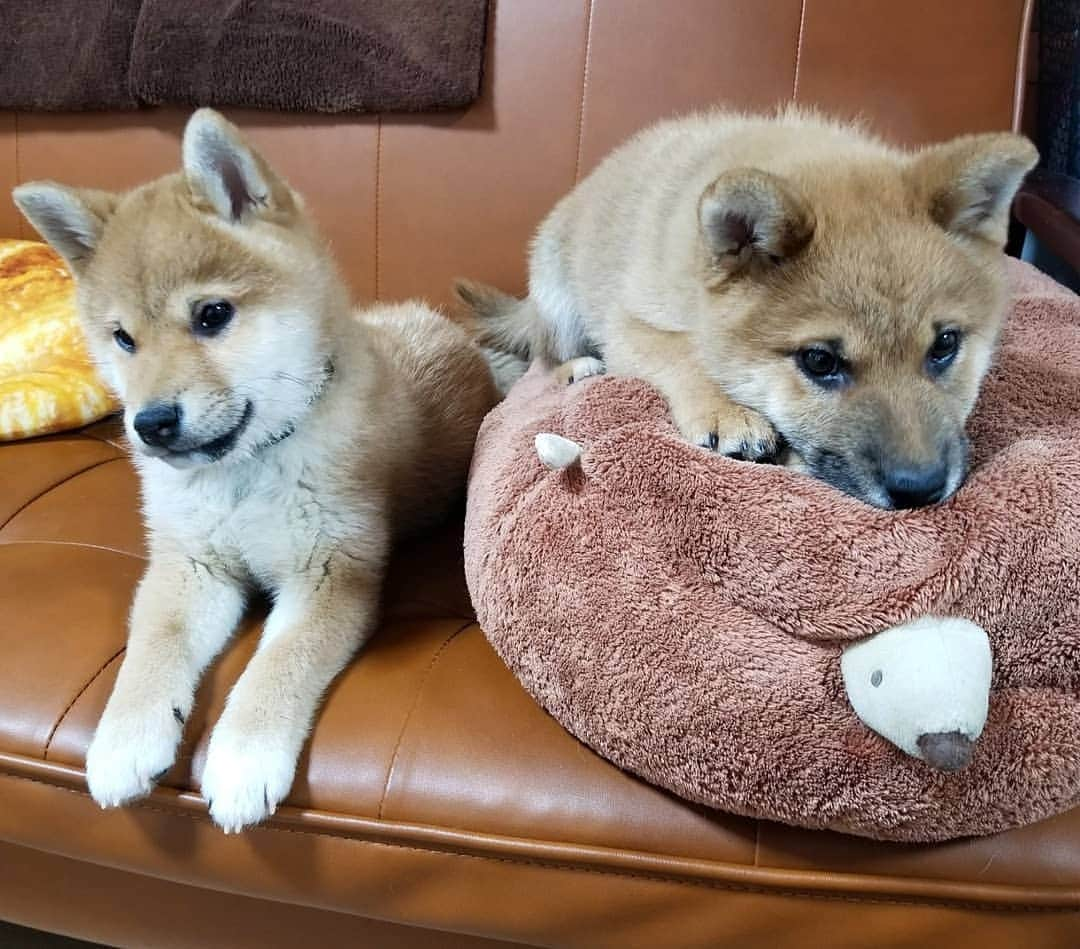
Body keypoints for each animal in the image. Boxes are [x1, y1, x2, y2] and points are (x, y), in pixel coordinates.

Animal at [13, 107, 501, 829]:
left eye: (212, 314)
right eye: (123, 339)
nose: (150, 423)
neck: (244, 476)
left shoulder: (332, 572)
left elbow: (278, 667)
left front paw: (243, 758)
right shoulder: (190, 564)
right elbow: (152, 646)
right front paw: (126, 737)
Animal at [462, 109, 1036, 511]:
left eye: (945, 345)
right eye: (820, 362)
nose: (919, 491)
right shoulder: (629, 323)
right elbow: (682, 353)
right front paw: (726, 410)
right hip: (560, 298)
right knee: (546, 355)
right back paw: (578, 366)